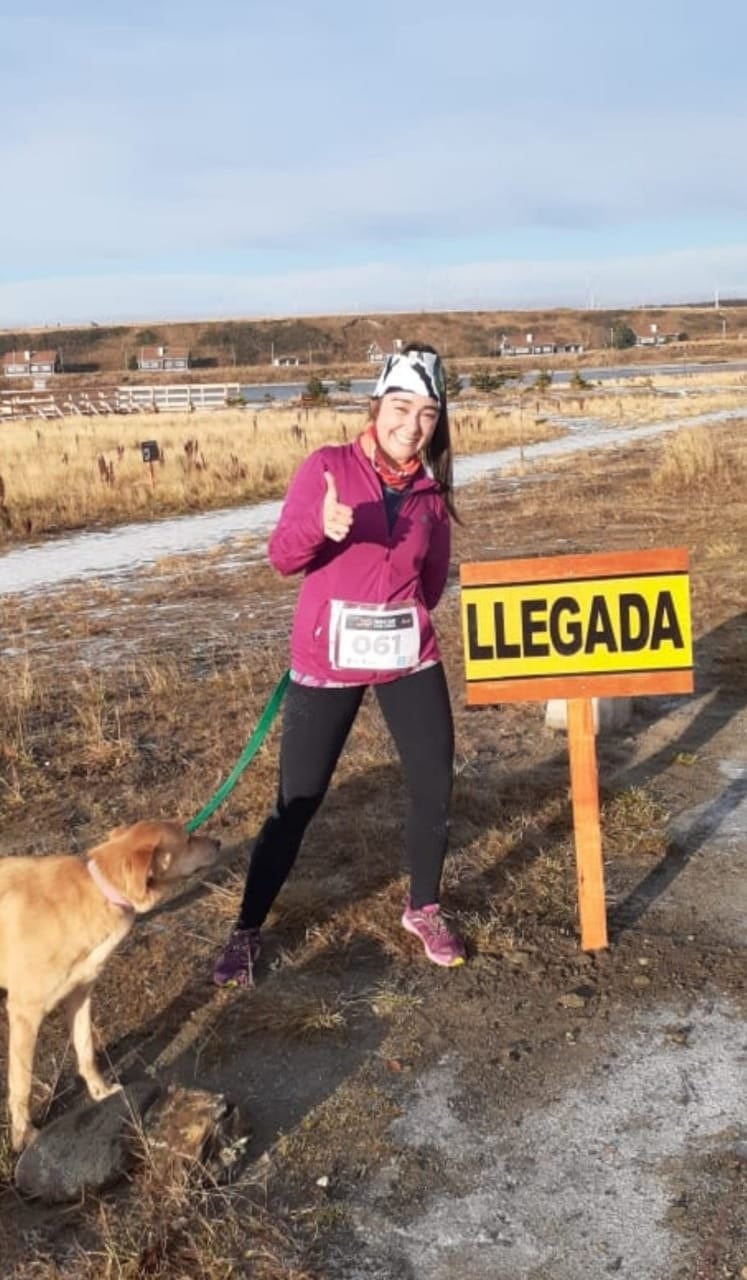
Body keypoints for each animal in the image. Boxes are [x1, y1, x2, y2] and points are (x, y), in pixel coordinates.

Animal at [0, 824, 220, 1157]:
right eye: (188, 839)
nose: (219, 842)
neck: (96, 890)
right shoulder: (24, 1013)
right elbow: (22, 1084)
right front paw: (23, 1135)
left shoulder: (80, 995)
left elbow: (86, 1049)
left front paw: (100, 1090)